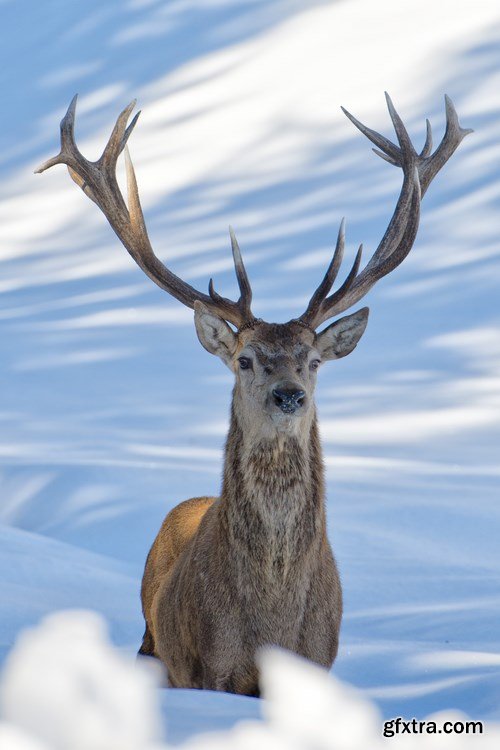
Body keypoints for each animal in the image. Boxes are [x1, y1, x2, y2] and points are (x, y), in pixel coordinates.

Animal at [36, 93, 471, 696]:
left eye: (313, 361)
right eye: (245, 359)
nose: (290, 395)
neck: (272, 627)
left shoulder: (318, 660)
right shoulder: (209, 671)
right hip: (151, 641)